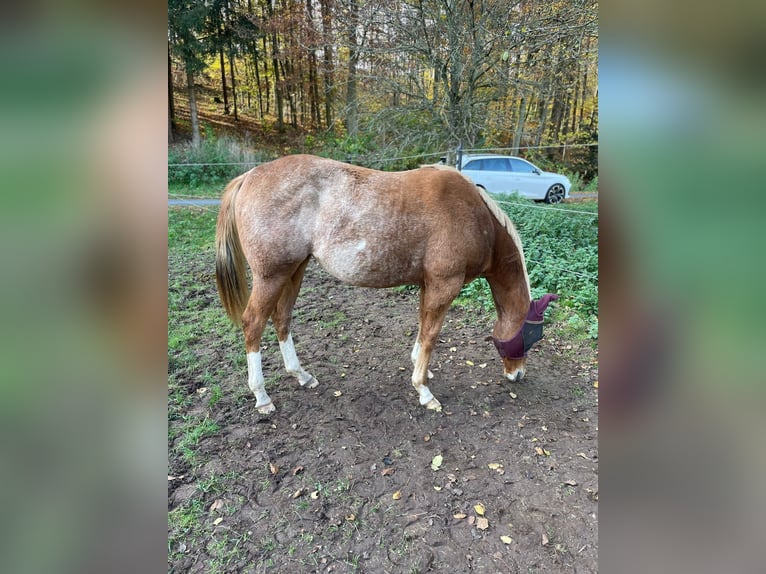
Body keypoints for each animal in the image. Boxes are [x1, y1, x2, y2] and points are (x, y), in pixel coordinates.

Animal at [216, 153, 560, 414]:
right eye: (533, 335)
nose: (518, 375)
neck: (476, 216)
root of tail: (250, 176)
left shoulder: (428, 285)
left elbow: (422, 327)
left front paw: (420, 368)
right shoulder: (444, 285)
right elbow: (431, 334)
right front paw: (424, 390)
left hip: (294, 271)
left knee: (282, 318)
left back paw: (300, 375)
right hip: (271, 277)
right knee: (253, 323)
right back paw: (262, 396)